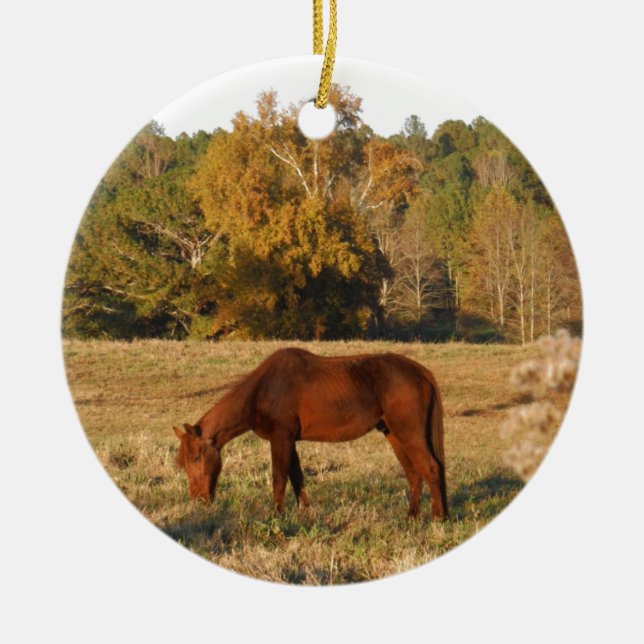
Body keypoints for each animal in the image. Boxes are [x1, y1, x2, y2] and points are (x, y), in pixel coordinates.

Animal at [173, 348, 448, 520]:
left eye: (196, 457)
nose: (198, 501)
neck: (263, 388)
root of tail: (421, 372)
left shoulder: (281, 438)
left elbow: (279, 477)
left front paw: (277, 515)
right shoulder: (289, 440)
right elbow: (297, 476)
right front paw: (304, 511)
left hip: (408, 433)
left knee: (430, 468)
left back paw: (438, 518)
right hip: (393, 434)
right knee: (414, 473)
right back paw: (413, 516)